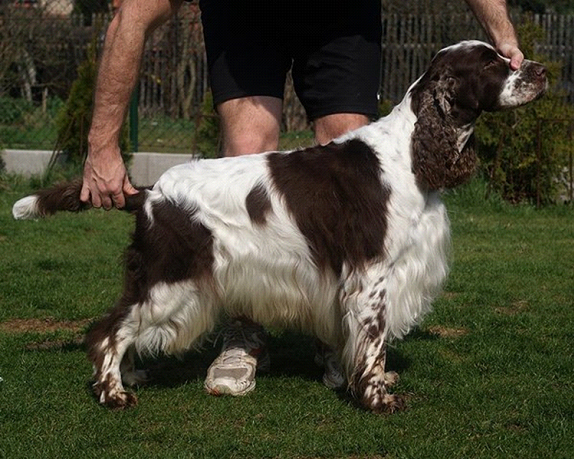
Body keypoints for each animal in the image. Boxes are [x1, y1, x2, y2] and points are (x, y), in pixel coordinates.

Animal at [11, 40, 548, 414]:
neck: (411, 153)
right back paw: (114, 393)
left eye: (506, 57)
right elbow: (373, 344)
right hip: (170, 279)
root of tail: (150, 193)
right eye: (493, 65)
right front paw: (377, 398)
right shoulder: (373, 274)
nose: (540, 70)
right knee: (108, 330)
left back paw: (130, 377)